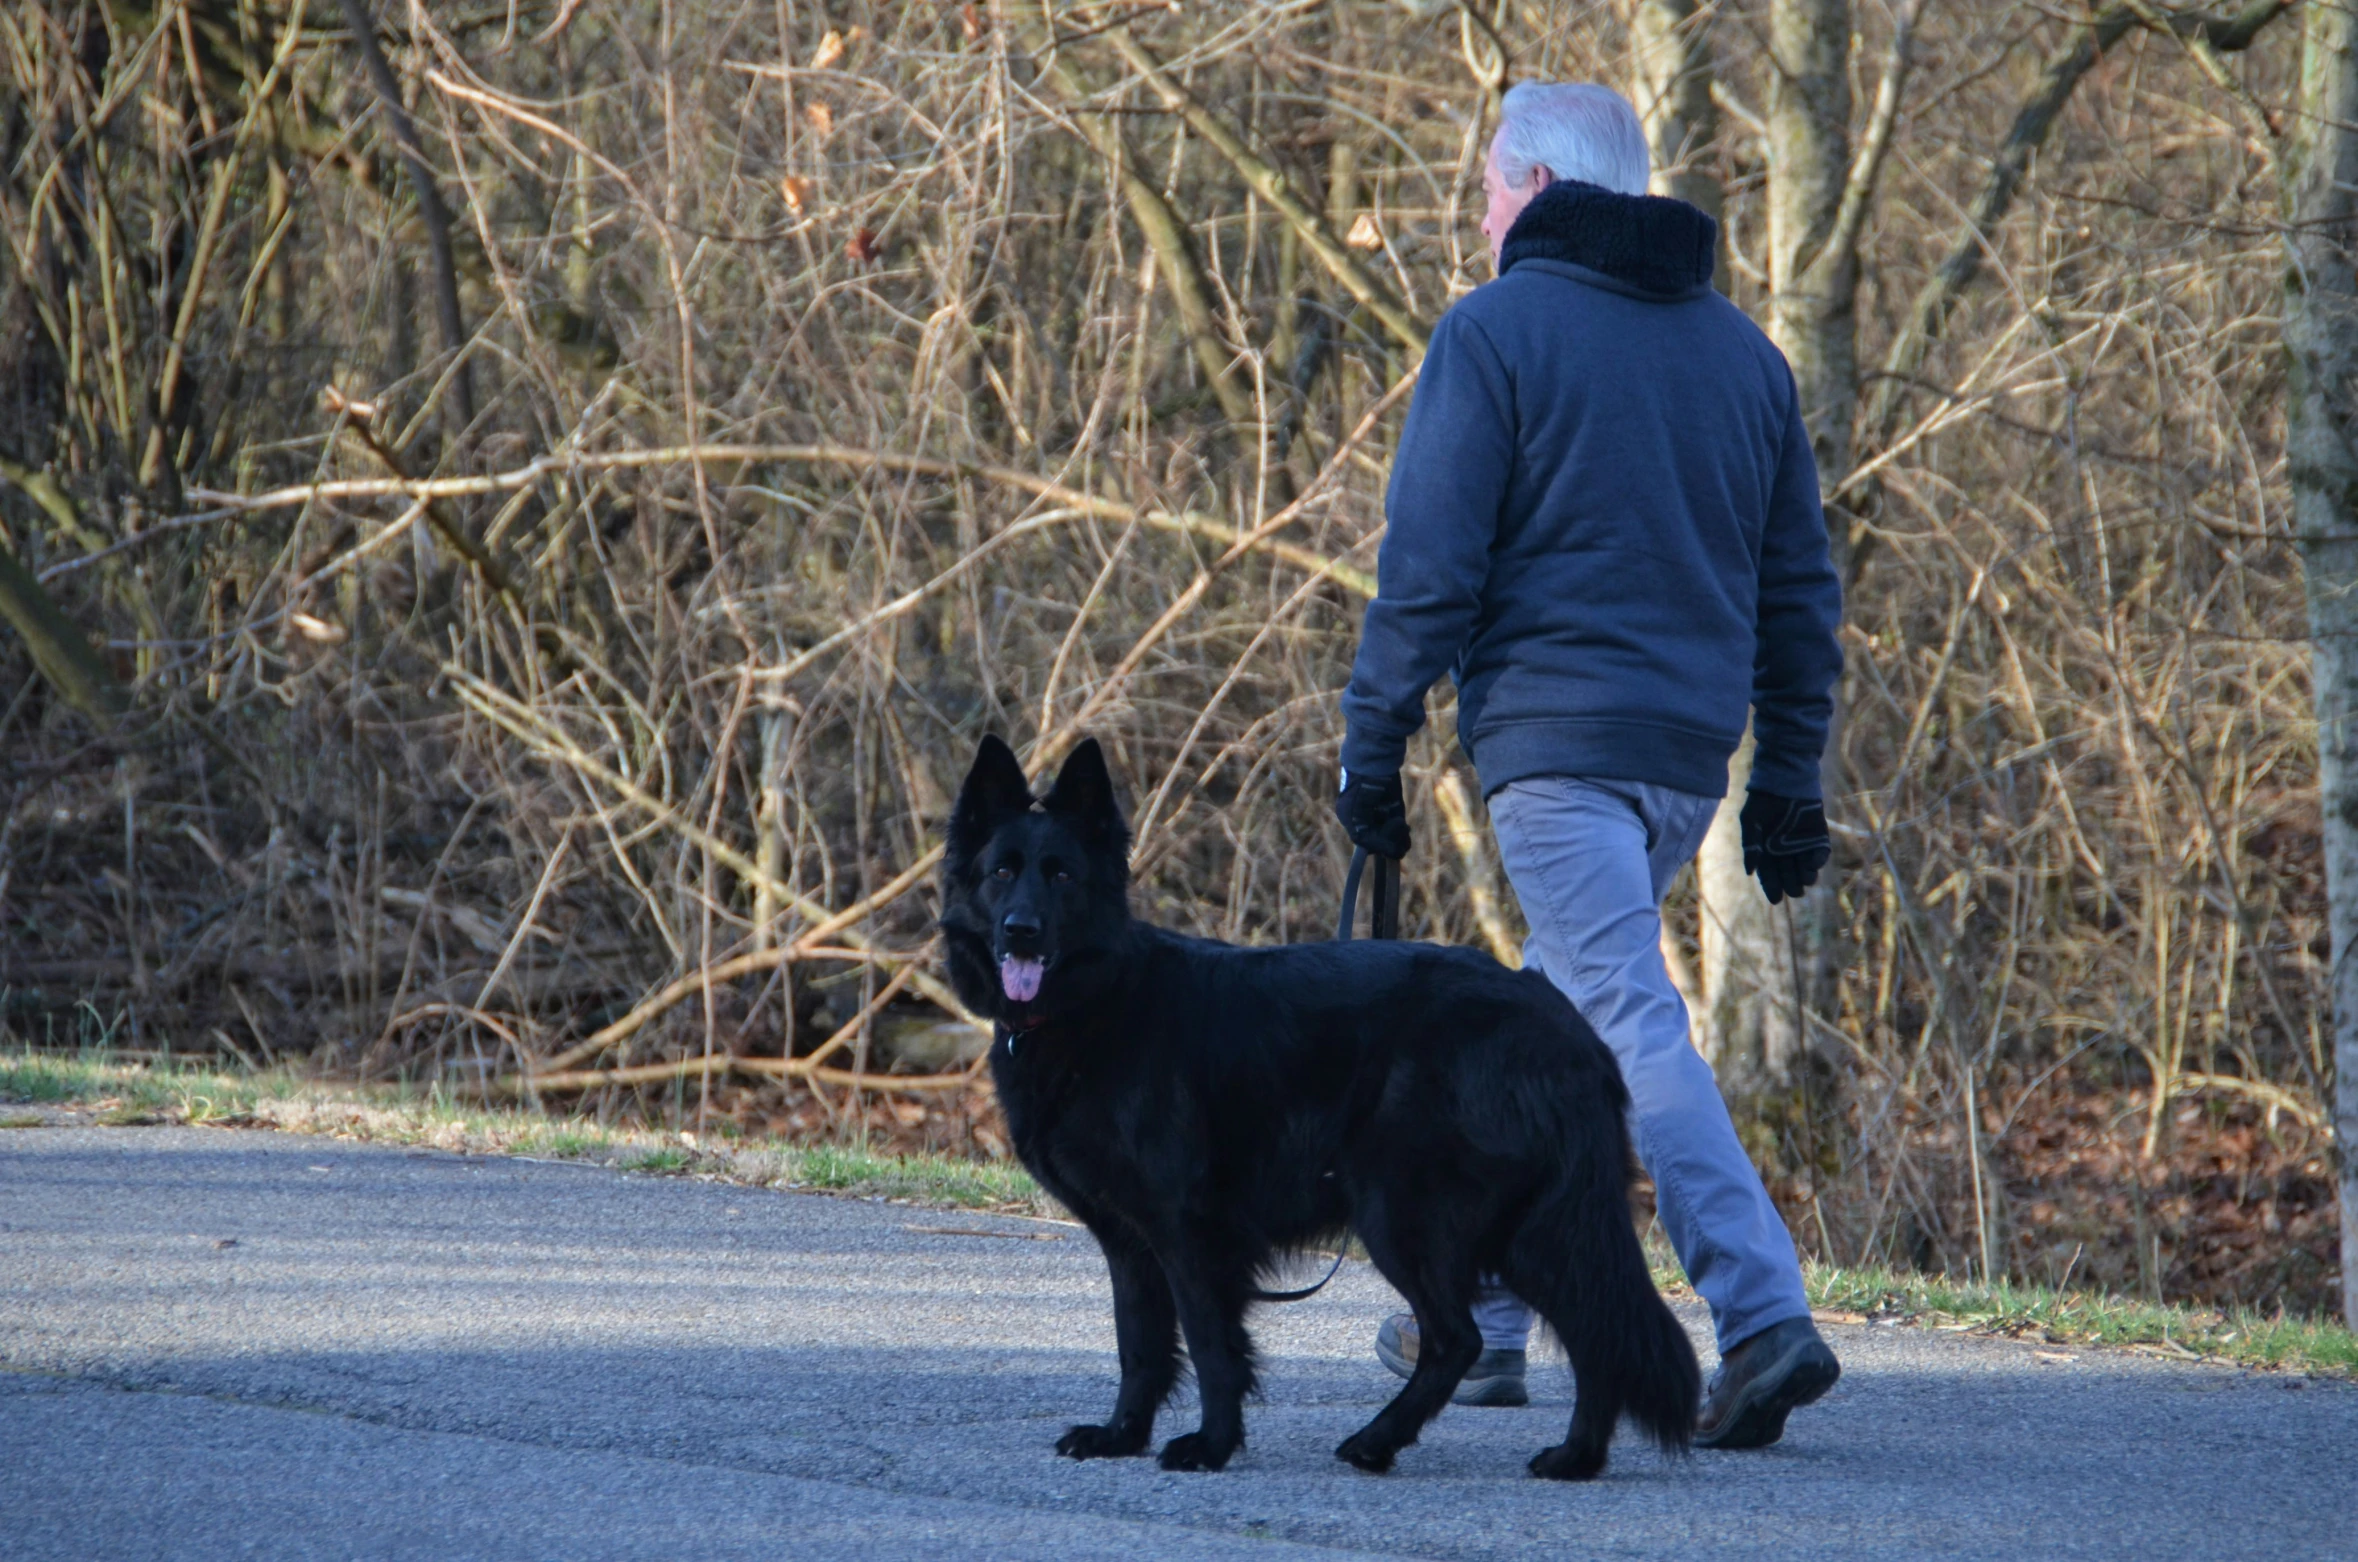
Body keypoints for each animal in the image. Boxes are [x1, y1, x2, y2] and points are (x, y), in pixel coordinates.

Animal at [938, 740, 1697, 1491]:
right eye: (1001, 872)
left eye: (1061, 876)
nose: (1021, 931)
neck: (1095, 999)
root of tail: (1571, 1031)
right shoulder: (1129, 1243)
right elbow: (1140, 1347)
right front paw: (1121, 1435)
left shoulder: (1187, 1233)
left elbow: (1211, 1347)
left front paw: (1211, 1445)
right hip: (1528, 1233)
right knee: (1593, 1332)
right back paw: (1576, 1458)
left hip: (1404, 1215)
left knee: (1462, 1338)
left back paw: (1378, 1441)